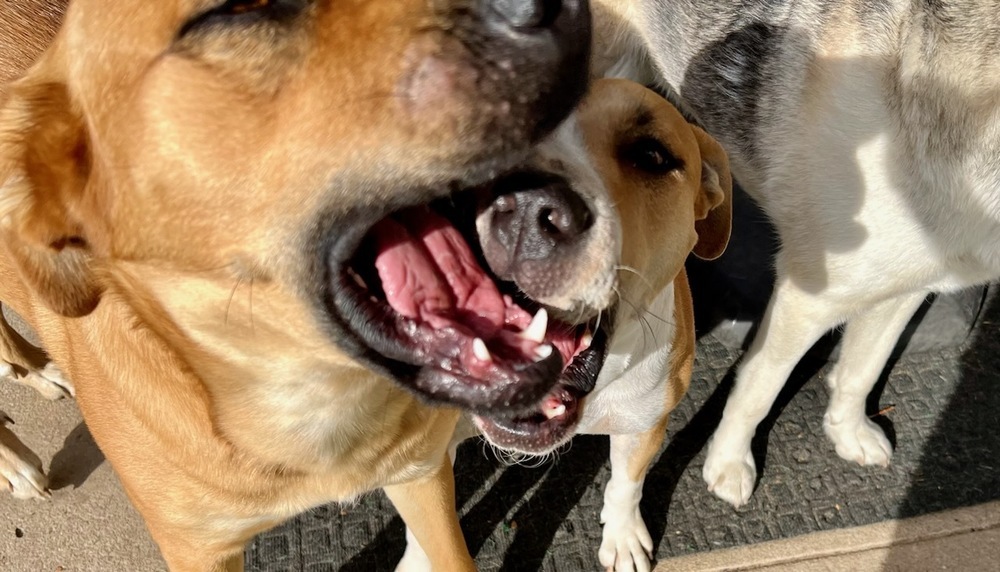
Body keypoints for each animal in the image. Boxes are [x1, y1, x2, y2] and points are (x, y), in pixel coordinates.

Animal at [398, 79, 736, 572]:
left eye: (652, 155)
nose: (527, 208)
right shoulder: (415, 464)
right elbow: (439, 541)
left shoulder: (645, 420)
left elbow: (627, 483)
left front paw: (623, 536)